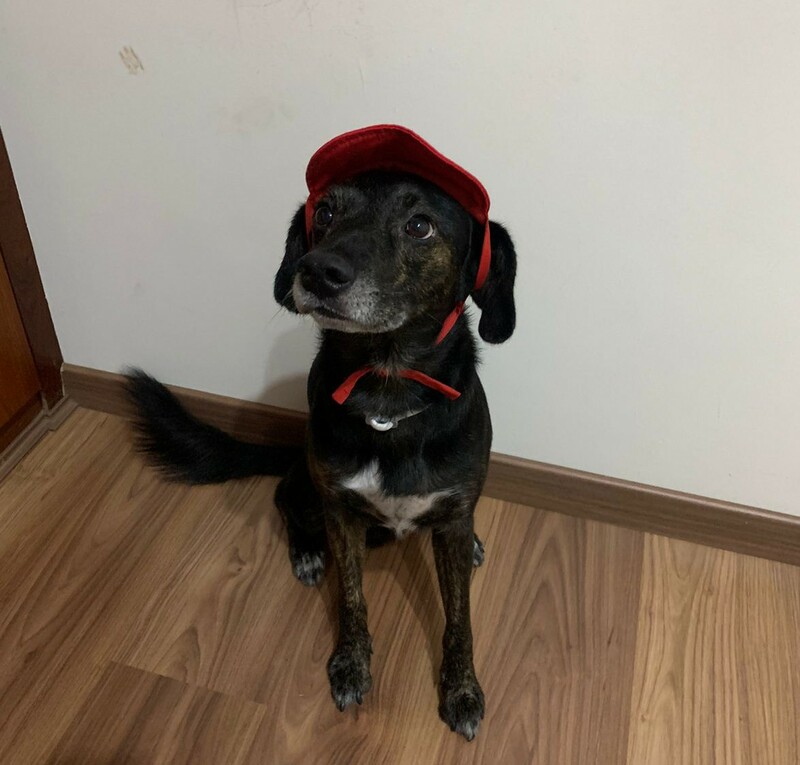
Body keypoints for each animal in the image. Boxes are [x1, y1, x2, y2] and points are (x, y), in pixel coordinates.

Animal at [126, 125, 517, 741]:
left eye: (420, 225)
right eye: (327, 212)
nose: (316, 271)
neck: (386, 391)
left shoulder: (453, 513)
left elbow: (460, 616)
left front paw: (461, 688)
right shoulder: (340, 509)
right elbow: (352, 598)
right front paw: (351, 665)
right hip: (308, 488)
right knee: (284, 498)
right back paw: (307, 552)